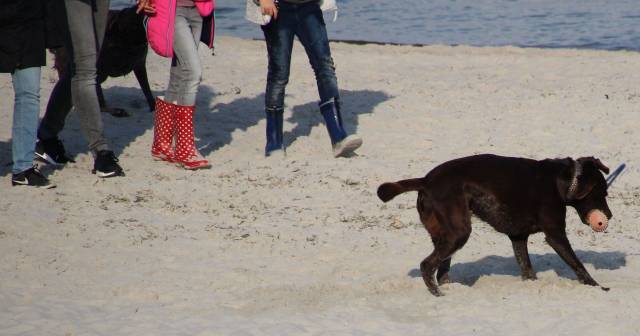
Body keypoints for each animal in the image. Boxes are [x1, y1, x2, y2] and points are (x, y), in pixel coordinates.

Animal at [378, 154, 612, 296]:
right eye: (602, 192)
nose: (609, 215)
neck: (561, 181)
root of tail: (425, 181)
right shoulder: (555, 235)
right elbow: (578, 265)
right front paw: (598, 287)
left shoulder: (518, 237)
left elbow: (527, 269)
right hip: (459, 233)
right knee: (427, 265)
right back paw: (438, 294)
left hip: (445, 236)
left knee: (440, 268)